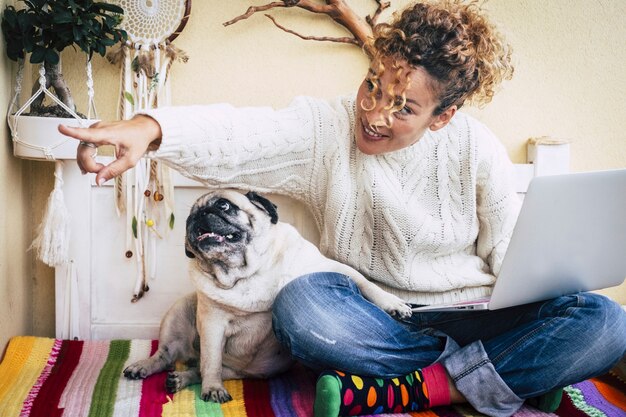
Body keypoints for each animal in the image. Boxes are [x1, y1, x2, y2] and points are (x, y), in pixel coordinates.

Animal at [123, 190, 412, 402]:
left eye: (224, 205)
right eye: (189, 217)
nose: (197, 216)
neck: (248, 272)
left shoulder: (332, 268)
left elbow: (366, 283)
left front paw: (393, 304)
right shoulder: (212, 322)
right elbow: (211, 360)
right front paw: (213, 388)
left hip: (248, 369)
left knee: (202, 368)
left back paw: (182, 378)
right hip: (178, 314)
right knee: (172, 357)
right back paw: (146, 367)